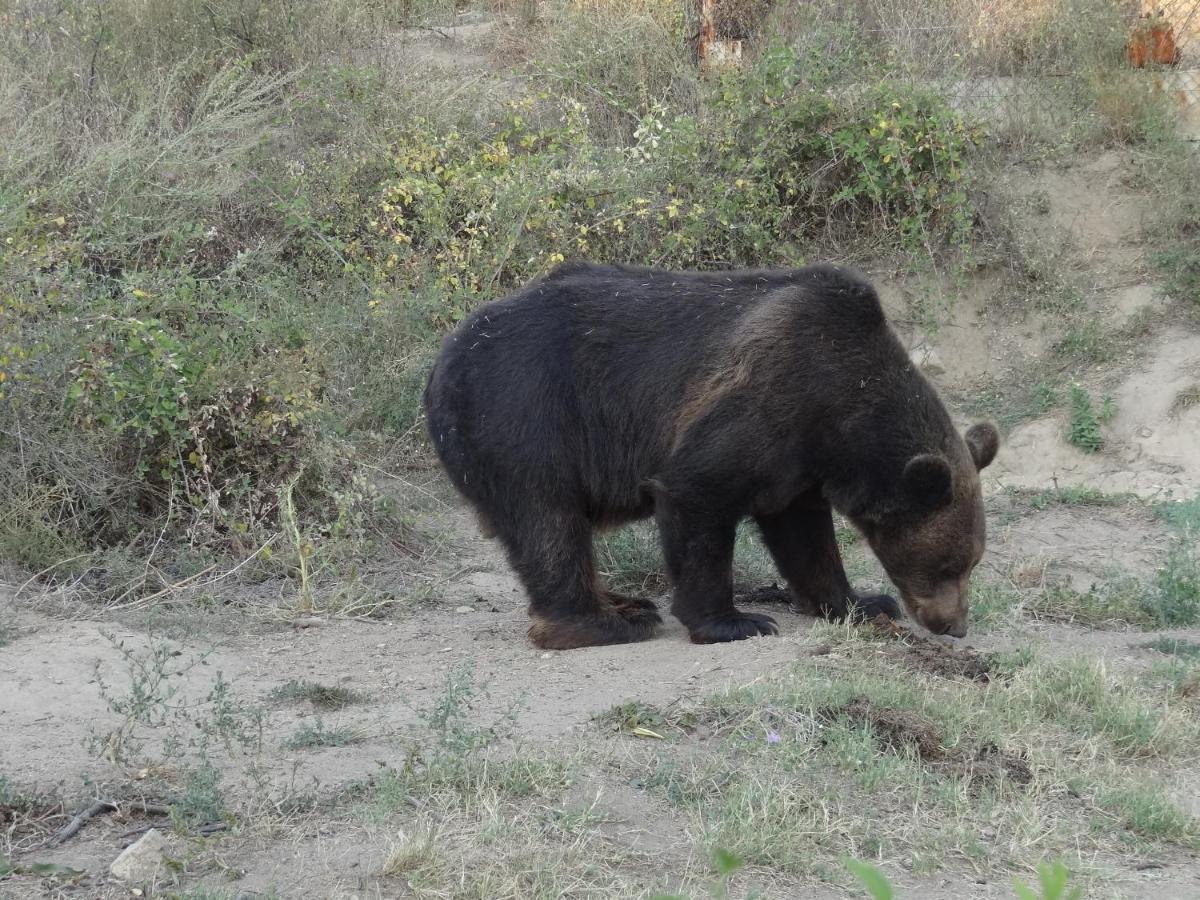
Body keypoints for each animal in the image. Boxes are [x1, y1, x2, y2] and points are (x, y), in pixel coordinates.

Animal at [420, 260, 993, 648]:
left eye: (970, 562)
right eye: (948, 564)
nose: (955, 625)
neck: (844, 409)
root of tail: (442, 360)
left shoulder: (800, 462)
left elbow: (804, 535)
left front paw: (863, 602)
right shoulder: (767, 395)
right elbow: (699, 494)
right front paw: (735, 620)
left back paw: (624, 602)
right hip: (525, 415)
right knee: (548, 523)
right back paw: (607, 620)